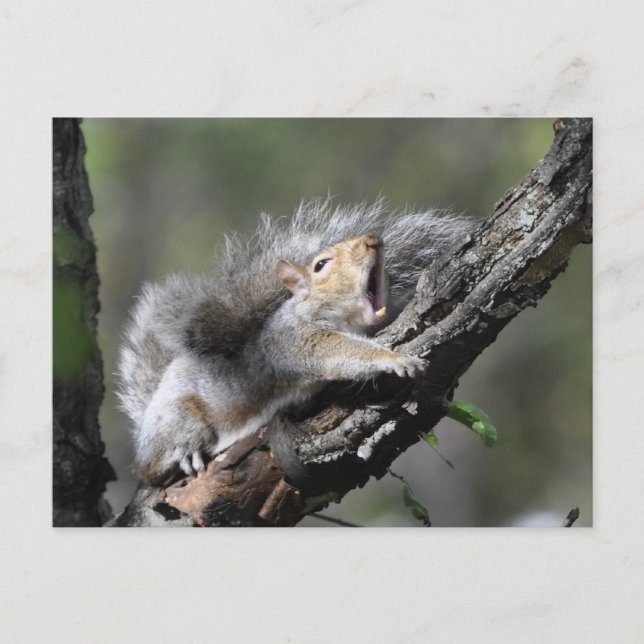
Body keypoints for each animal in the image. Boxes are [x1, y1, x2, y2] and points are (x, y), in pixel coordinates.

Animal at [117, 199, 472, 485]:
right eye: (321, 265)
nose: (373, 241)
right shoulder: (295, 340)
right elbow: (339, 352)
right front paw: (396, 360)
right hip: (175, 420)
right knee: (153, 466)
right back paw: (183, 454)